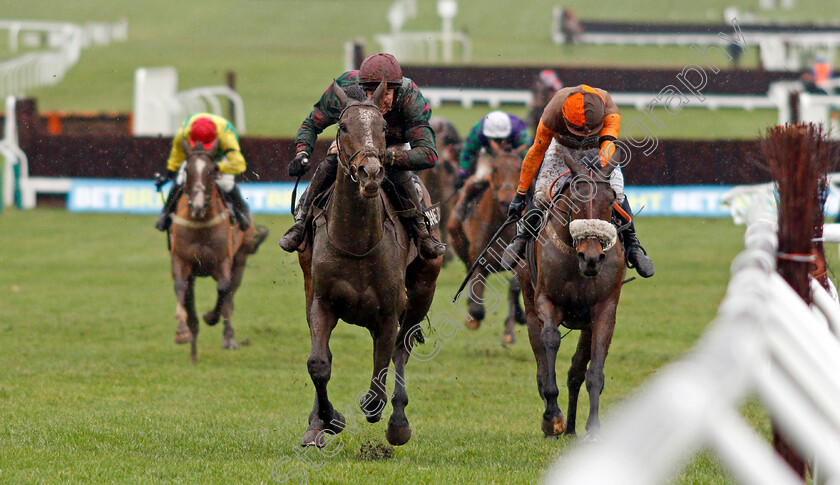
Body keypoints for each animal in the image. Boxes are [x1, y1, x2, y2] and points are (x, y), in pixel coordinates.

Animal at [167, 138, 266, 362]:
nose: (196, 205)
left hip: (240, 260)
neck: (200, 223)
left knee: (229, 295)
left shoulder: (223, 261)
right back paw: (193, 348)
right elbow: (181, 288)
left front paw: (211, 317)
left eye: (212, 170)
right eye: (187, 170)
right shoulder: (181, 259)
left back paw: (229, 338)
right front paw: (182, 331)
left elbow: (223, 288)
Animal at [296, 81, 442, 448]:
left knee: (402, 349)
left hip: (424, 287)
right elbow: (319, 363)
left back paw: (398, 422)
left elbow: (380, 376)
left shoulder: (389, 312)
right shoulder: (322, 302)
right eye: (343, 126)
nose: (371, 172)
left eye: (382, 128)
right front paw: (326, 420)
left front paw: (375, 410)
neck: (357, 244)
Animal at [446, 147, 524, 344]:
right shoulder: (479, 260)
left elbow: (515, 287)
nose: (507, 200)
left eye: (519, 168)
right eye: (495, 168)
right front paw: (473, 317)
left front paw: (511, 329)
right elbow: (477, 309)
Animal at [516, 147, 628, 438]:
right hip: (528, 298)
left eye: (611, 200)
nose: (591, 258)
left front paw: (594, 427)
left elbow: (593, 369)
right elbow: (550, 341)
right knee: (540, 355)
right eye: (575, 199)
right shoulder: (546, 300)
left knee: (576, 371)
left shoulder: (605, 308)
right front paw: (552, 417)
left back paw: (572, 429)